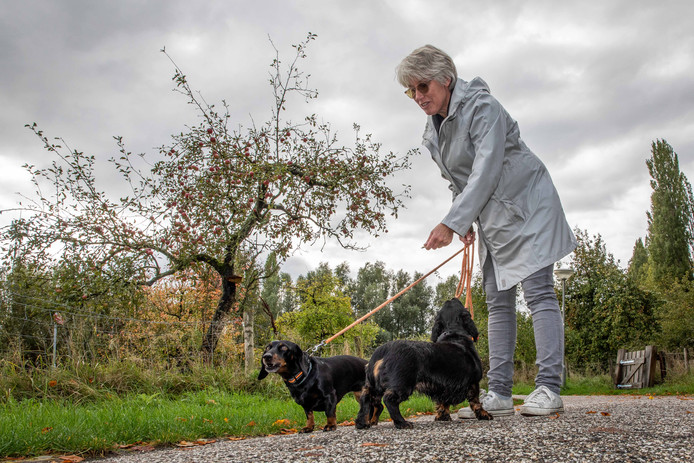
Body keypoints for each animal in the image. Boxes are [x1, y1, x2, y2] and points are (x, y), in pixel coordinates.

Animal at [356, 300, 492, 430]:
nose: (453, 297)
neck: (454, 333)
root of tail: (383, 350)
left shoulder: (444, 386)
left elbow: (443, 402)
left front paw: (442, 416)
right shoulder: (473, 382)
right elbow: (475, 401)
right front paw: (484, 415)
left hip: (373, 385)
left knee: (366, 398)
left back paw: (362, 423)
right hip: (403, 384)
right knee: (389, 400)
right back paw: (402, 423)